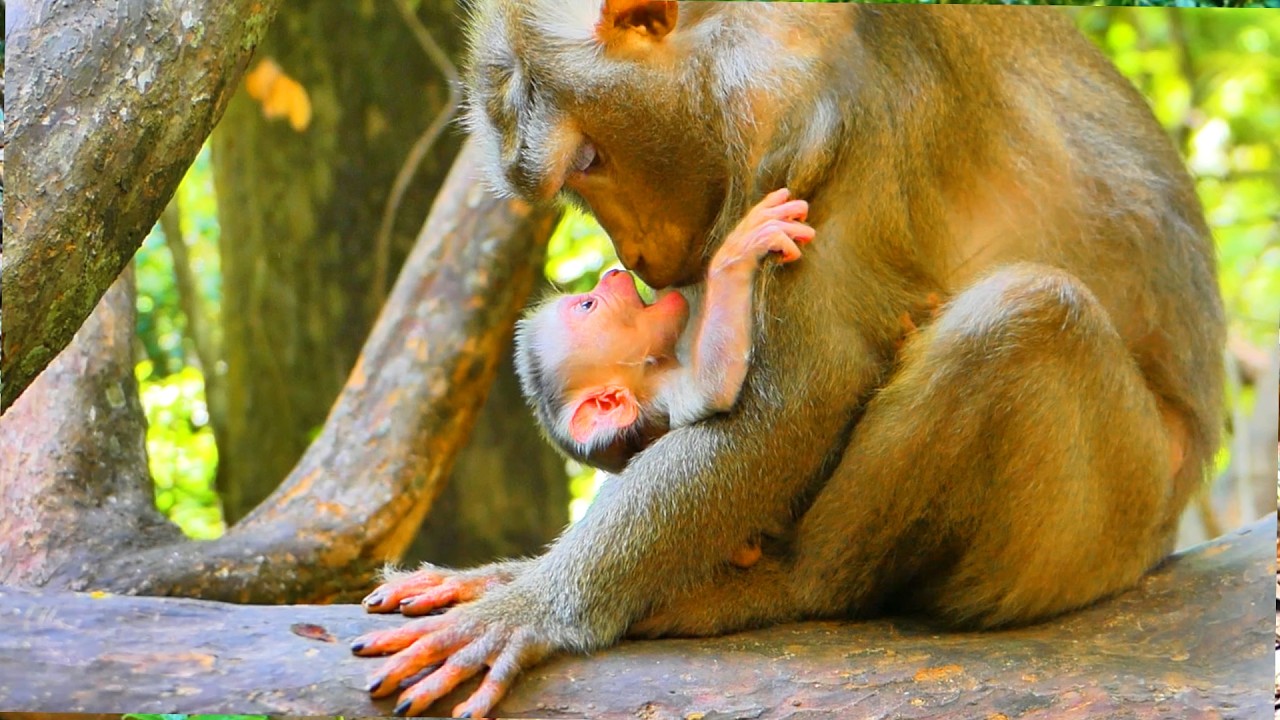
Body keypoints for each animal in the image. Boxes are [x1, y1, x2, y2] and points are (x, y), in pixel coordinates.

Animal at [351, 3, 1224, 717]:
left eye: (590, 159)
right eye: (575, 180)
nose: (629, 262)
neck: (737, 31)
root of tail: (1167, 526)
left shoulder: (825, 113)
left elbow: (801, 395)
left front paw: (531, 606)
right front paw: (513, 584)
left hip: (1105, 529)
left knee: (1028, 313)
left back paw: (794, 582)